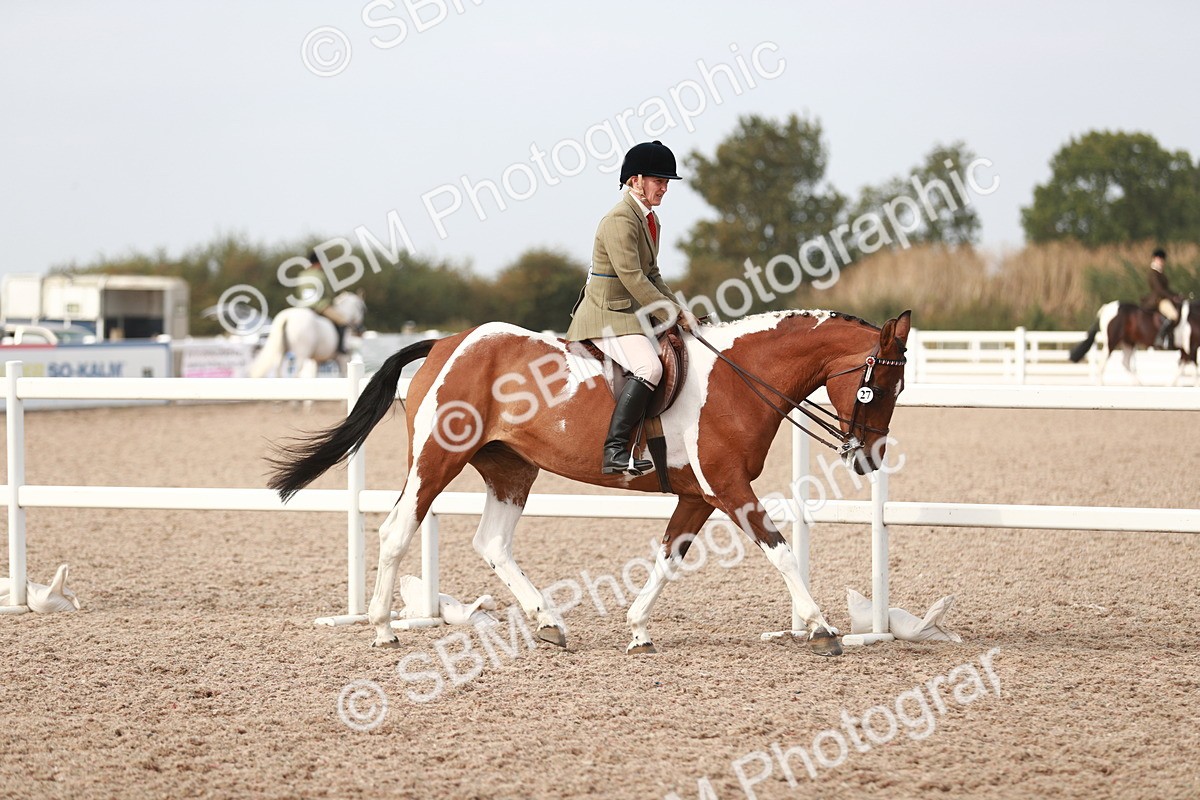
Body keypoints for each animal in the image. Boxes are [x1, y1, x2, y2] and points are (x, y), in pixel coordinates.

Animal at [267, 309, 912, 657]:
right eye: (877, 387)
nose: (868, 459)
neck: (738, 379)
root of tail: (449, 342)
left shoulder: (699, 495)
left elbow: (668, 558)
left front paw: (639, 629)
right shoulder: (729, 490)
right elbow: (779, 552)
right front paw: (824, 628)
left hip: (510, 467)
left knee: (493, 543)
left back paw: (548, 622)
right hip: (436, 459)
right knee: (399, 529)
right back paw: (382, 630)